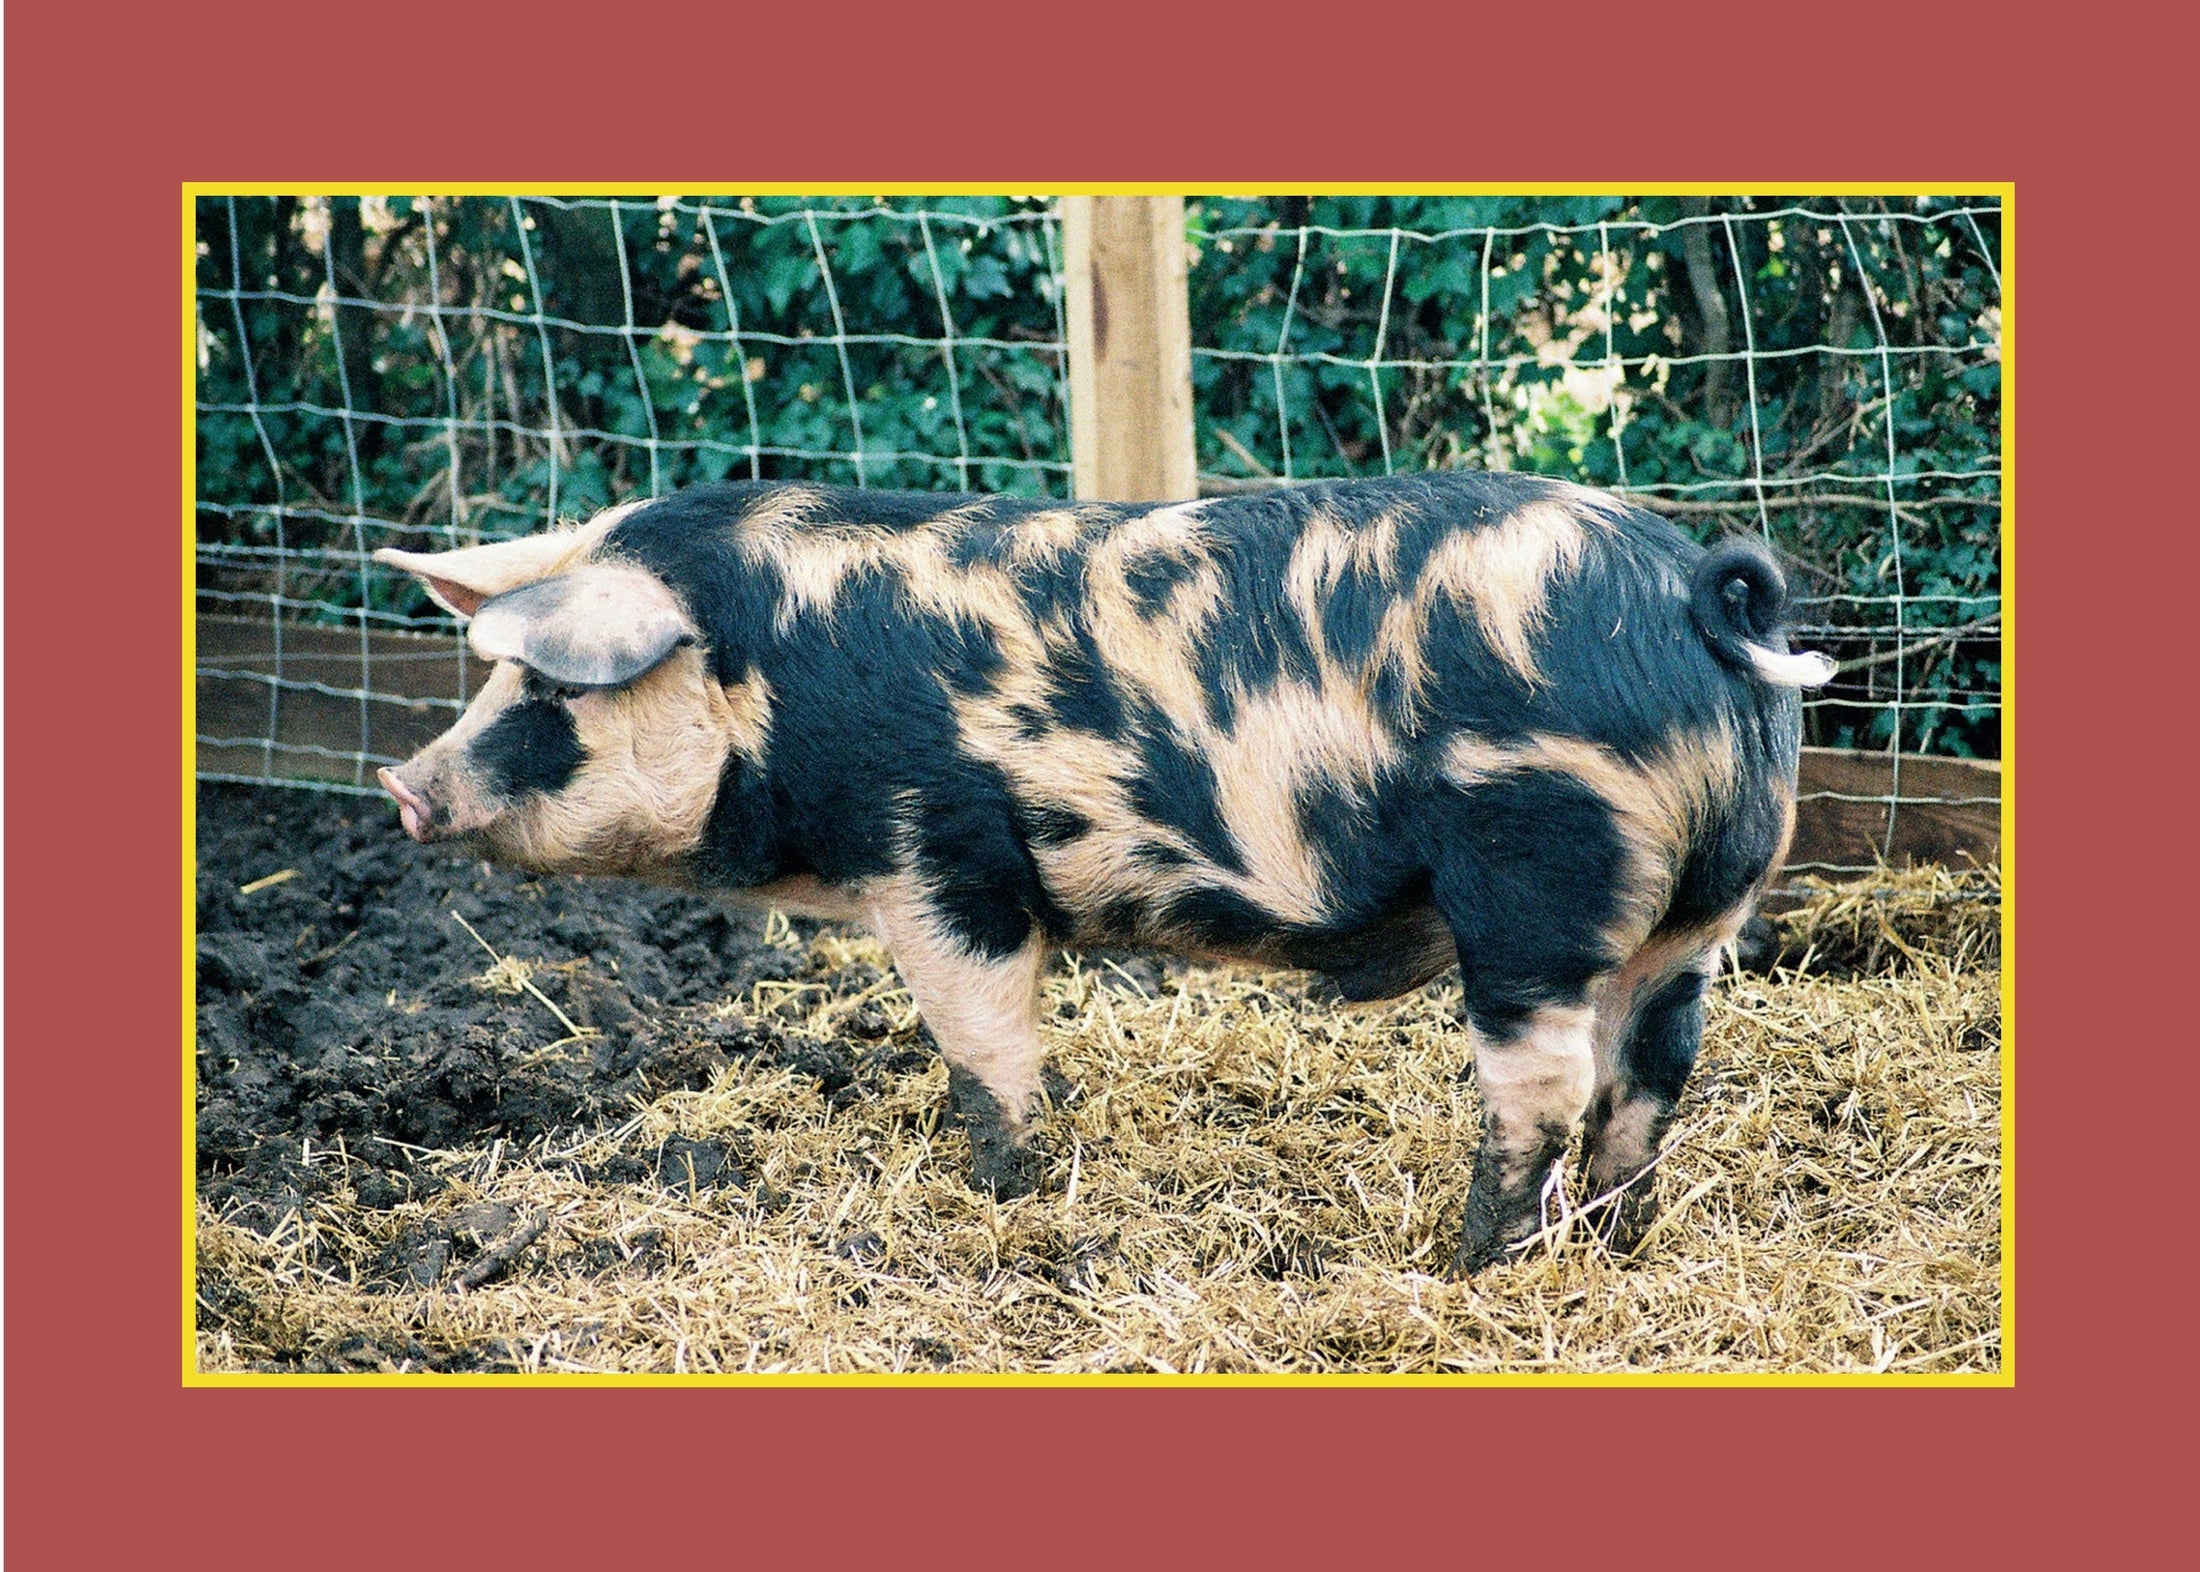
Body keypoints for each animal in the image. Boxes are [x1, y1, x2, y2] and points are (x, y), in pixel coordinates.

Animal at [373, 474, 1833, 1274]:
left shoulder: (935, 848)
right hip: (1701, 909)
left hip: (1536, 873)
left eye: (550, 690)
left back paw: (1471, 1264)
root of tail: (1697, 593)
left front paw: (1010, 1192)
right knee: (1652, 1072)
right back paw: (1614, 1243)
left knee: (1546, 1083)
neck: (774, 672)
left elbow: (982, 1038)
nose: (402, 787)